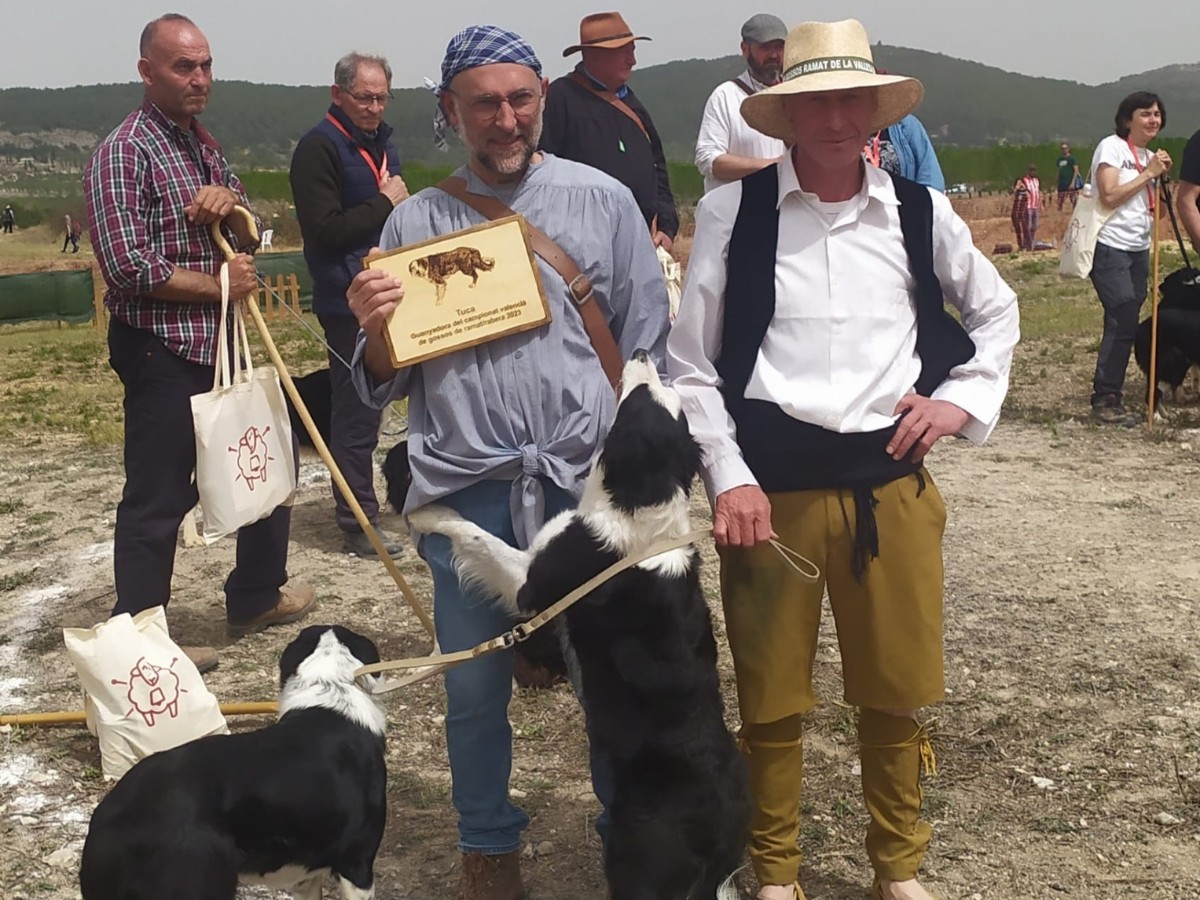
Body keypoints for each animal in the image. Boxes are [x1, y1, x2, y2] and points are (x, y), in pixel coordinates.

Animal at [412, 352, 748, 900]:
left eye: (638, 398)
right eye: (667, 400)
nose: (643, 355)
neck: (641, 503)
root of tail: (721, 836)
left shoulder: (530, 581)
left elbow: (475, 534)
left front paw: (428, 511)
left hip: (640, 863)